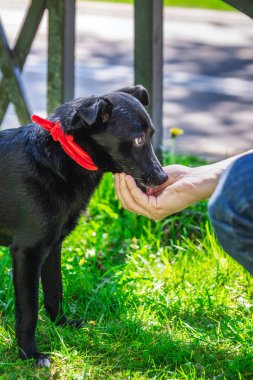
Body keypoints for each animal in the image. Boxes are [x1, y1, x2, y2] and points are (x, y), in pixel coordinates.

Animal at [0, 85, 168, 366]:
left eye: (152, 134)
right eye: (138, 139)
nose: (163, 177)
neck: (63, 154)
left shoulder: (52, 246)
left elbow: (55, 291)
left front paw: (61, 323)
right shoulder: (27, 251)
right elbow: (29, 310)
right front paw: (29, 354)